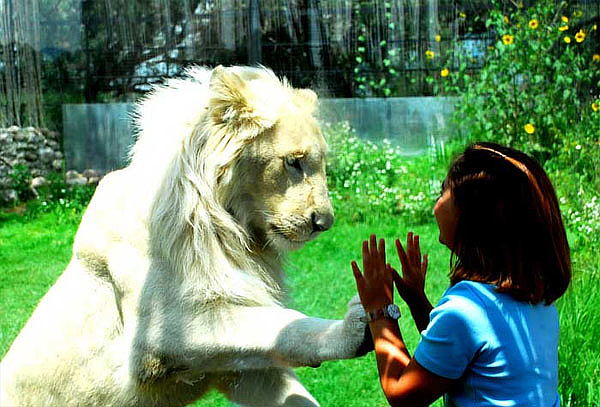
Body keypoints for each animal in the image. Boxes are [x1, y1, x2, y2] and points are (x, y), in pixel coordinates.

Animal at [0, 67, 370, 407]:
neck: (227, 229)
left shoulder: (237, 370)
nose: (324, 222)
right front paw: (354, 326)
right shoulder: (159, 334)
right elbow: (281, 323)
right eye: (294, 162)